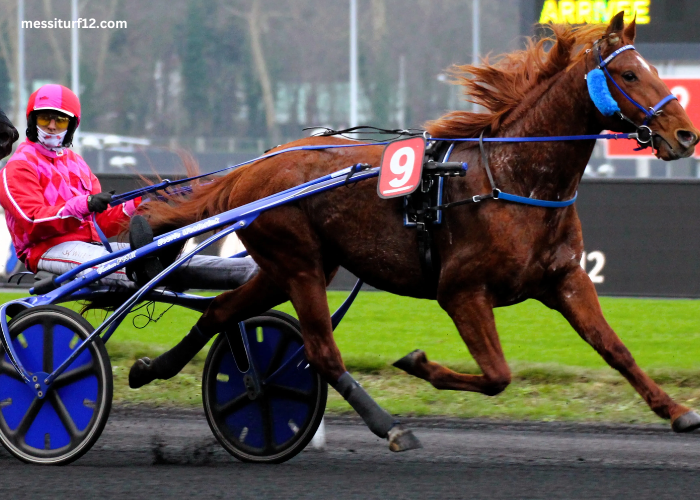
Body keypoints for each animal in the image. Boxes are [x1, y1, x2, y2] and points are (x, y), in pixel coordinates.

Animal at [133, 12, 700, 450]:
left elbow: (615, 349)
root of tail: (252, 166)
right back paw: (389, 426)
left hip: (287, 267)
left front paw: (676, 410)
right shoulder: (462, 290)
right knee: (320, 351)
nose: (685, 134)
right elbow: (498, 376)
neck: (513, 179)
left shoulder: (565, 278)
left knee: (221, 311)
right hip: (297, 264)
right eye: (628, 73)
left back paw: (153, 369)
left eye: (652, 69)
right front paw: (418, 362)